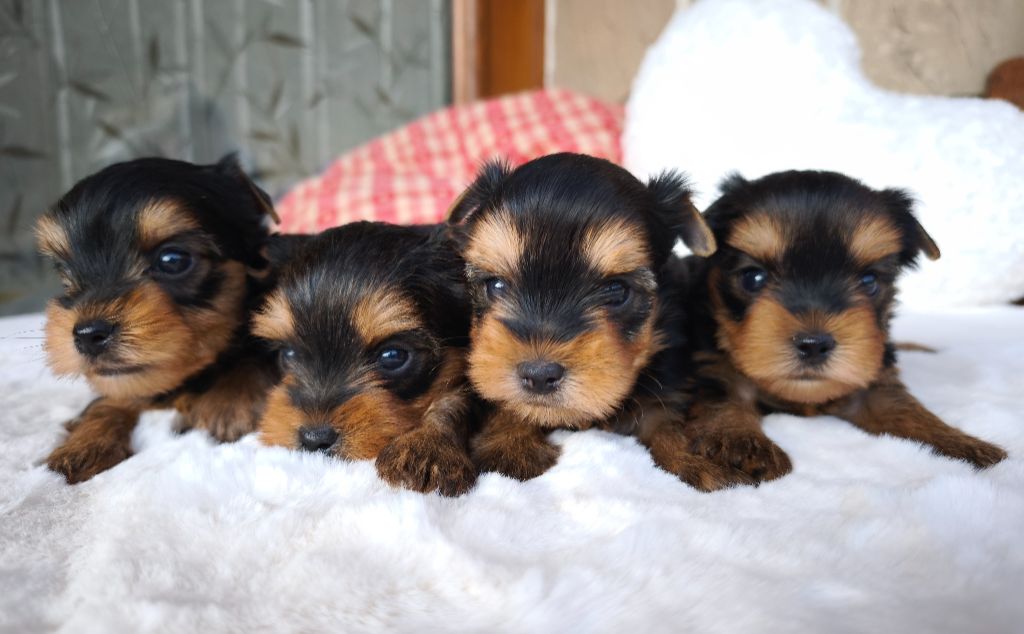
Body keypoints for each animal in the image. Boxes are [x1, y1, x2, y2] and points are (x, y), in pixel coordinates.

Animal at [36, 156, 282, 483]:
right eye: (64, 273)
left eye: (172, 260)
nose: (88, 335)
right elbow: (112, 399)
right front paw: (84, 444)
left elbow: (254, 356)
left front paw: (230, 401)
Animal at [448, 153, 737, 491]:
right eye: (495, 285)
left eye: (616, 290)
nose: (539, 375)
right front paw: (510, 446)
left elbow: (667, 418)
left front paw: (693, 460)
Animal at [679, 168, 1007, 485]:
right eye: (753, 278)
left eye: (869, 281)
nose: (813, 345)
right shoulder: (711, 363)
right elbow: (724, 395)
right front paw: (740, 443)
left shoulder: (873, 379)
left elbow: (905, 408)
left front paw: (964, 444)